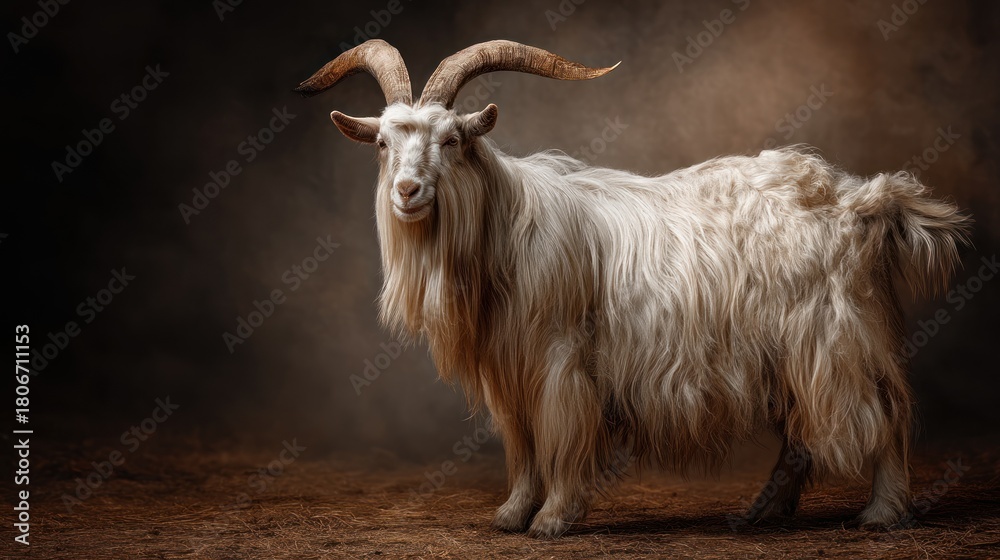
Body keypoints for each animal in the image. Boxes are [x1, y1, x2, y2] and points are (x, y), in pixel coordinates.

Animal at [296, 39, 971, 538]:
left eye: (452, 141)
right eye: (383, 144)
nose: (407, 191)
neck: (506, 229)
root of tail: (861, 198)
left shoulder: (561, 358)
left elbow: (560, 434)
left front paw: (553, 518)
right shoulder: (508, 371)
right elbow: (521, 443)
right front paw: (512, 514)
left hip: (835, 337)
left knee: (883, 413)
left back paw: (882, 513)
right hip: (793, 349)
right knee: (802, 437)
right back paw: (760, 514)